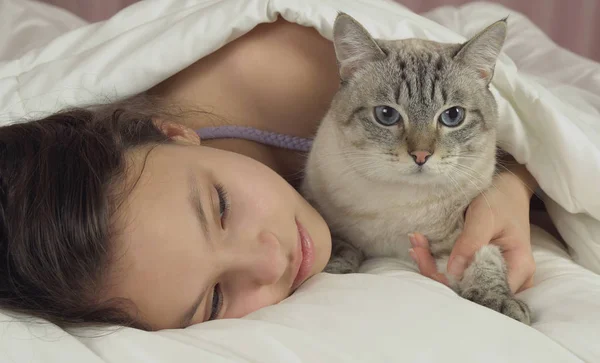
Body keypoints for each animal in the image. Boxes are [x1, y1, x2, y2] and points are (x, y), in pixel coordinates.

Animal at [302, 12, 532, 326]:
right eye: (386, 115)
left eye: (453, 116)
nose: (421, 155)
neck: (402, 206)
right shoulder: (318, 206)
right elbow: (337, 244)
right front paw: (335, 269)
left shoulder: (467, 231)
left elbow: (486, 258)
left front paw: (499, 302)